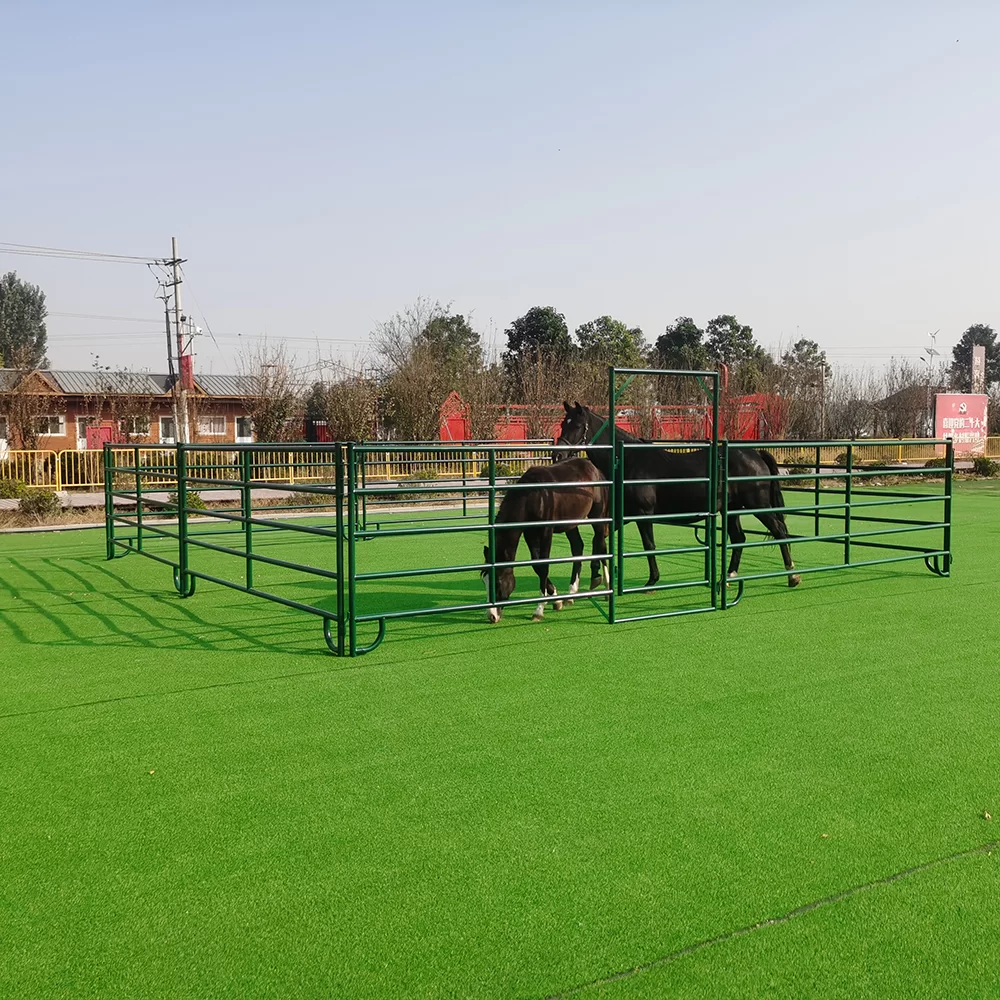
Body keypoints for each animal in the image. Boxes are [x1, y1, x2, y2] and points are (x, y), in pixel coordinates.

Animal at [482, 457, 610, 623]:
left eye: (498, 582)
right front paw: (556, 599)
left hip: (597, 515)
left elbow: (543, 566)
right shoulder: (530, 533)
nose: (492, 616)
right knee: (578, 547)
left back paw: (604, 583)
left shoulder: (545, 532)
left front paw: (539, 610)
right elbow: (536, 565)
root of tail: (593, 467)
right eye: (484, 581)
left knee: (600, 543)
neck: (532, 496)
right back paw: (571, 593)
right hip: (571, 524)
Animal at [555, 401, 800, 589]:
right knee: (739, 538)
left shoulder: (643, 514)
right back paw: (728, 578)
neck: (628, 460)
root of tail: (756, 454)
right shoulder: (624, 514)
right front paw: (595, 577)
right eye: (562, 423)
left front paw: (652, 581)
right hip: (732, 509)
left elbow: (649, 545)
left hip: (758, 506)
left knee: (779, 531)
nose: (558, 454)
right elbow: (600, 539)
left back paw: (792, 576)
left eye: (577, 425)